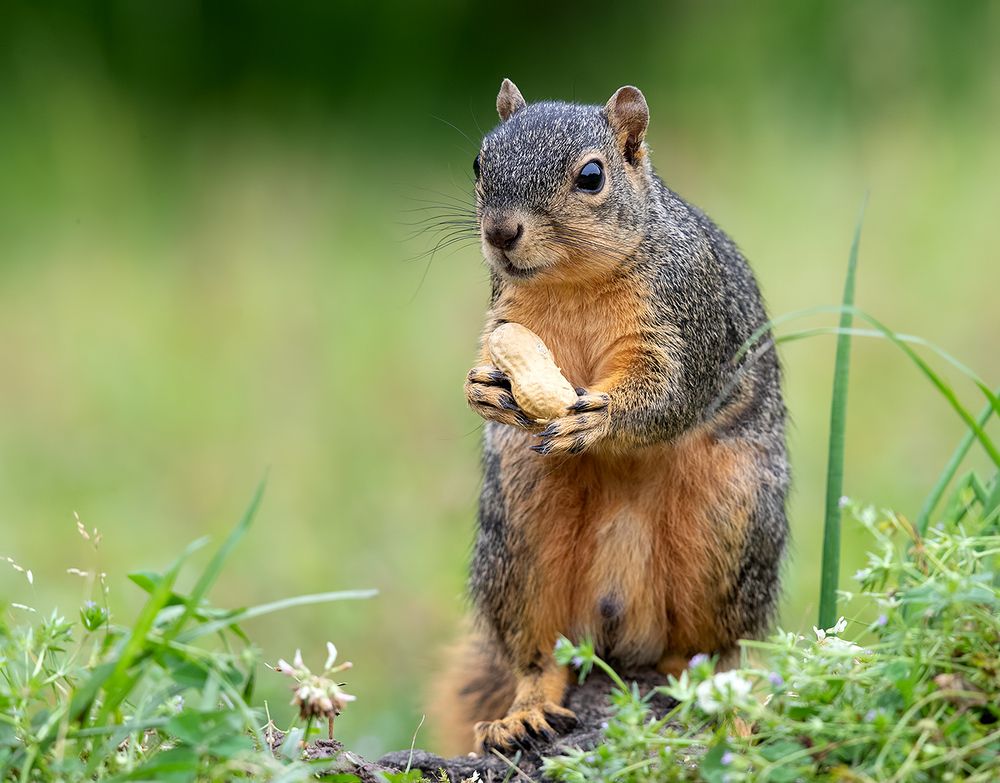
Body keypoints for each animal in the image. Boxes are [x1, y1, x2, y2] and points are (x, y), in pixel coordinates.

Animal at [430, 79, 789, 755]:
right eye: (478, 163)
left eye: (591, 176)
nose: (500, 233)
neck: (575, 279)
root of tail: (620, 627)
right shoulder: (509, 318)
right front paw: (482, 387)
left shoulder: (685, 314)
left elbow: (669, 392)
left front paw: (597, 420)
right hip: (520, 538)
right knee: (539, 654)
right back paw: (525, 711)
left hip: (727, 527)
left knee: (709, 653)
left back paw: (721, 706)